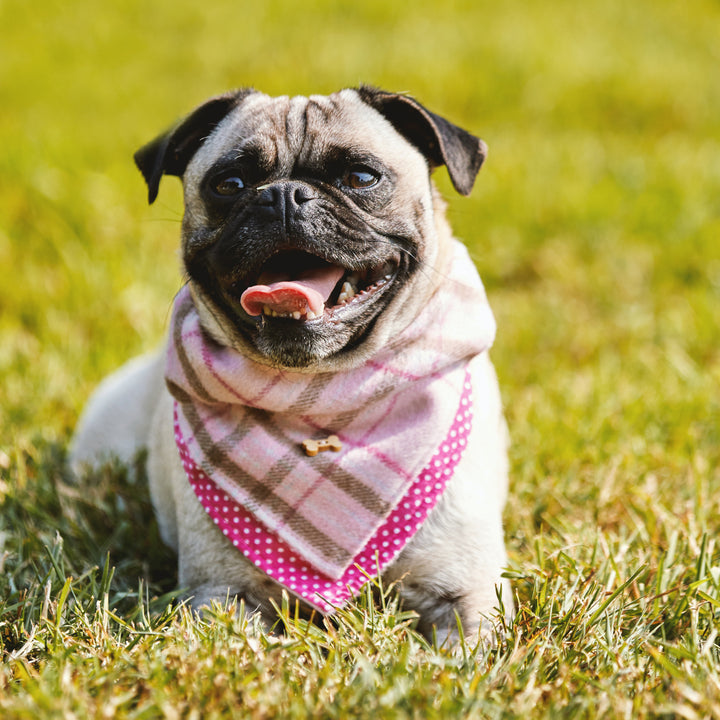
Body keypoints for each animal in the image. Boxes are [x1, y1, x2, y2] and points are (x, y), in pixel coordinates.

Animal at [70, 87, 512, 644]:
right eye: (229, 184)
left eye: (361, 177)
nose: (282, 195)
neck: (319, 391)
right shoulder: (222, 596)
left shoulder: (468, 596)